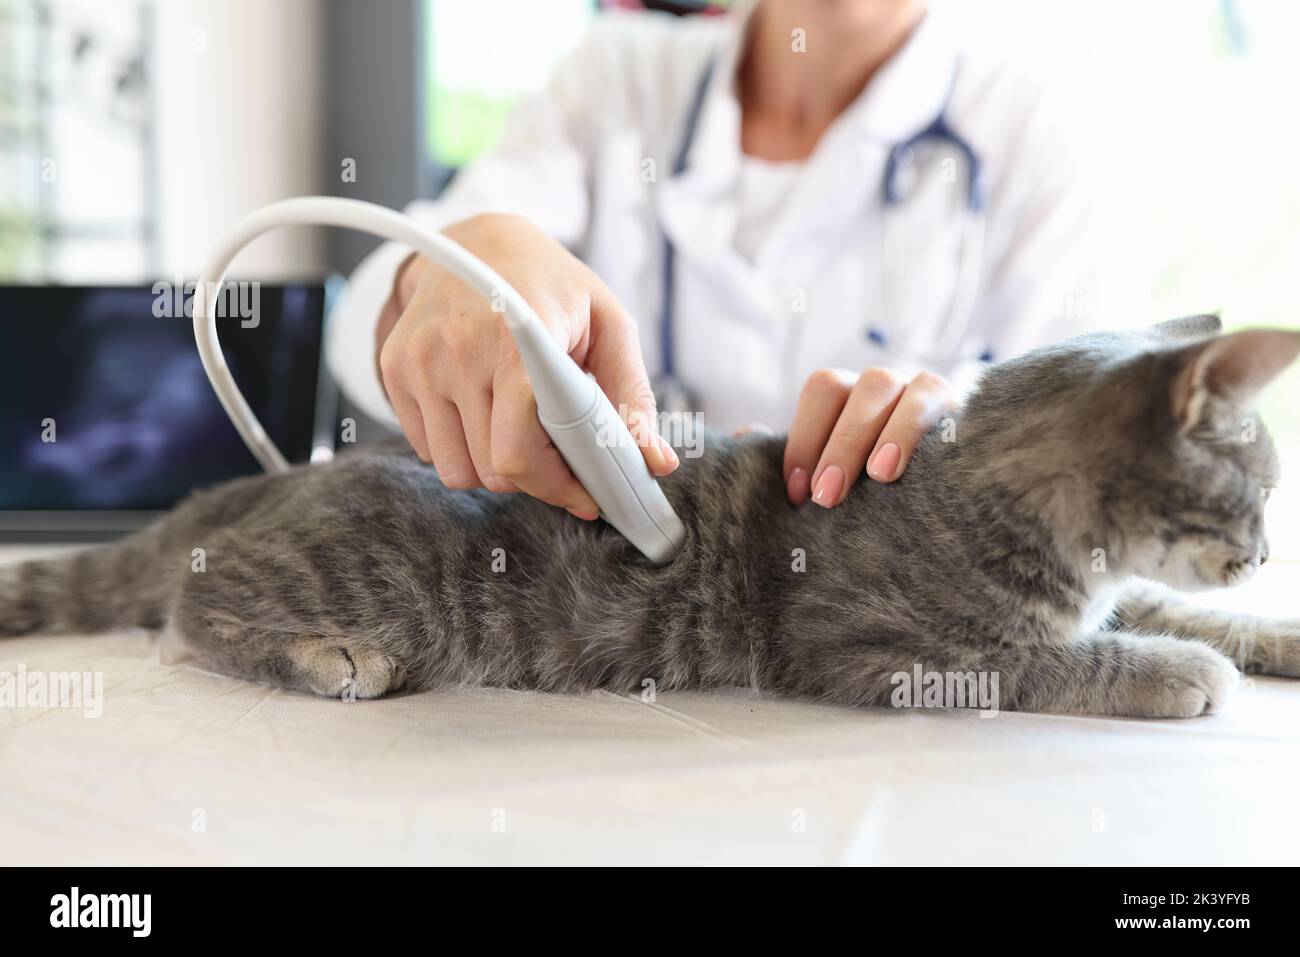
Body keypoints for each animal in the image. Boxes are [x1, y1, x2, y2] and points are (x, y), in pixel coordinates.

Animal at [2, 315, 1300, 717]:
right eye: (1259, 490)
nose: (1265, 555)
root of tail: (278, 478)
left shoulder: (1107, 590)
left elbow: (1151, 608)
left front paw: (1265, 635)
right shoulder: (868, 651)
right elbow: (1042, 663)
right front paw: (1173, 672)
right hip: (373, 579)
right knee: (191, 609)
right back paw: (327, 658)